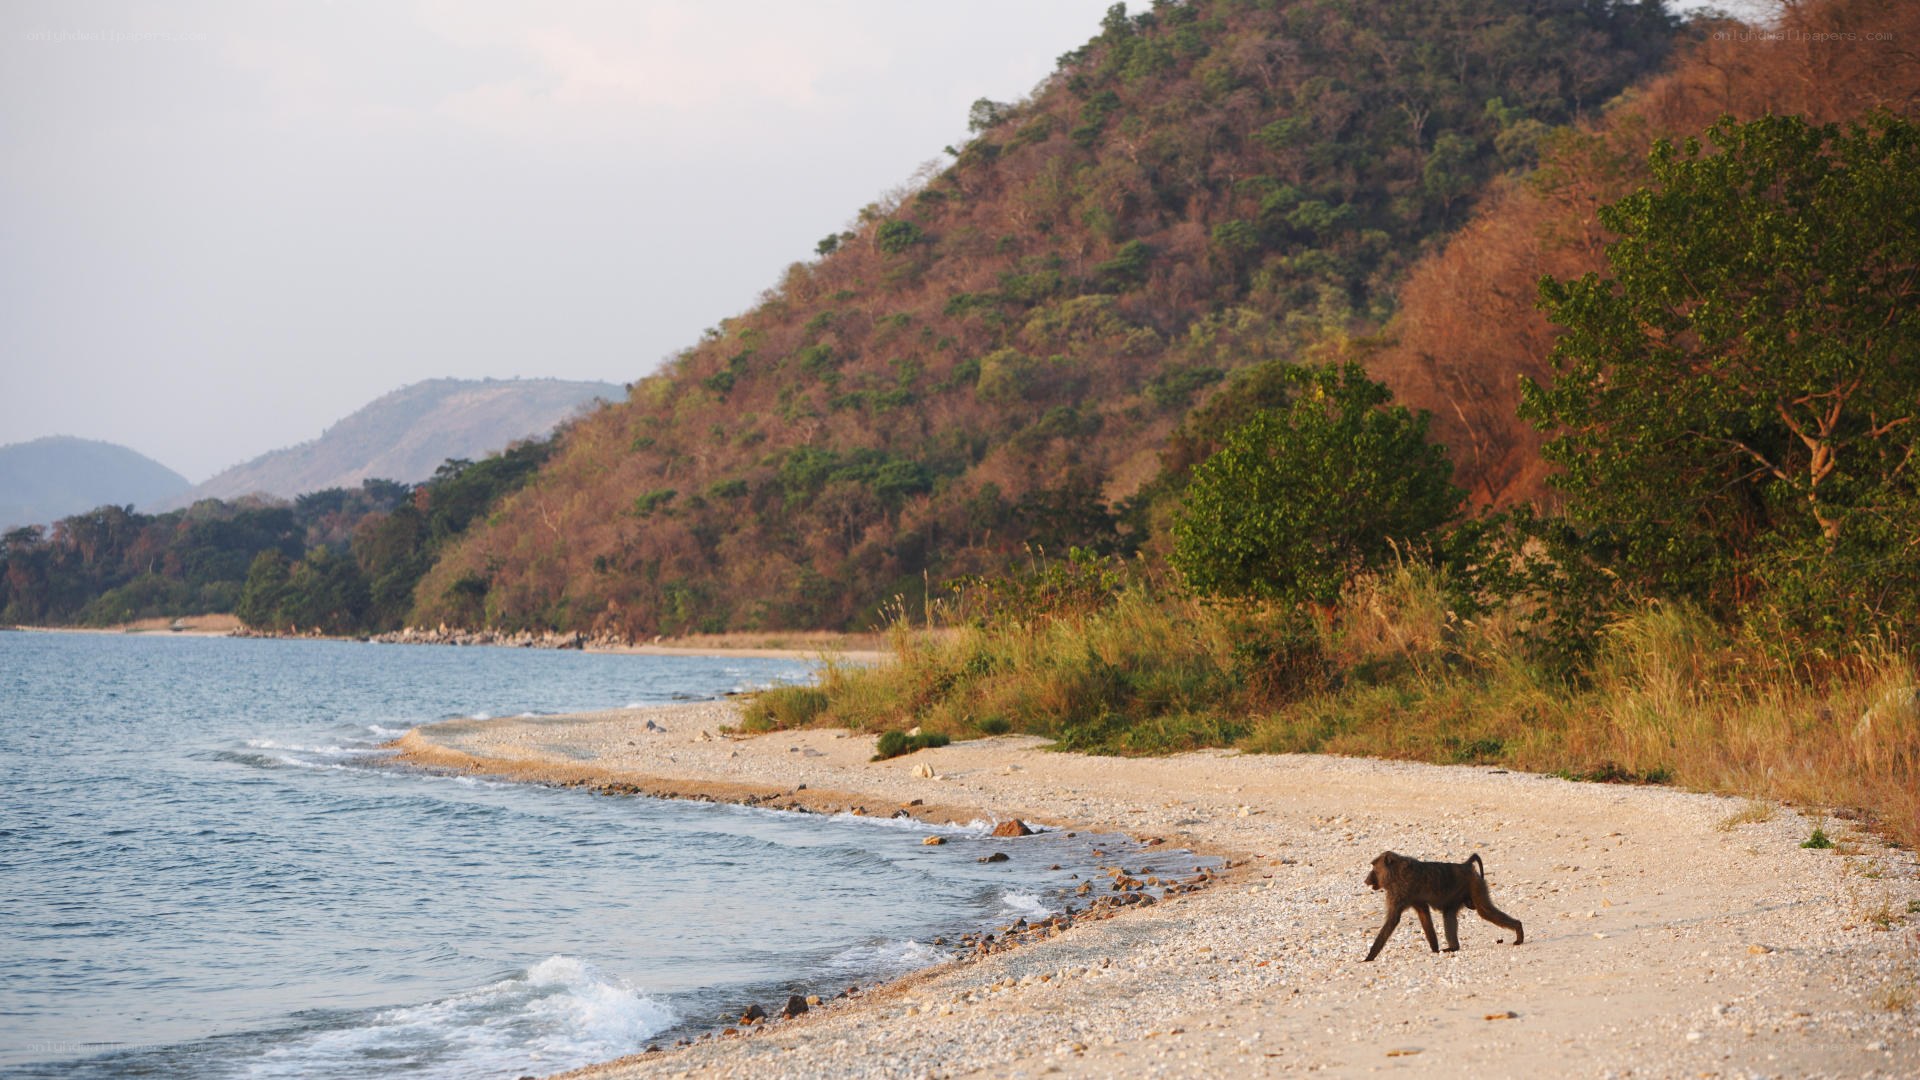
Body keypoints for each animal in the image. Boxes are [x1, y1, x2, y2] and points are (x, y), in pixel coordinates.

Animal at [1362, 850, 1524, 961]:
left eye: (1374, 868)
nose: (1366, 880)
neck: (1395, 871)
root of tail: (1465, 865)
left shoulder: (1398, 891)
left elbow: (1392, 921)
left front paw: (1368, 958)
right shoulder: (1416, 900)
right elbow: (1424, 917)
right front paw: (1435, 949)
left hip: (1475, 885)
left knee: (1485, 911)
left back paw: (1518, 929)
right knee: (1449, 914)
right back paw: (1453, 947)